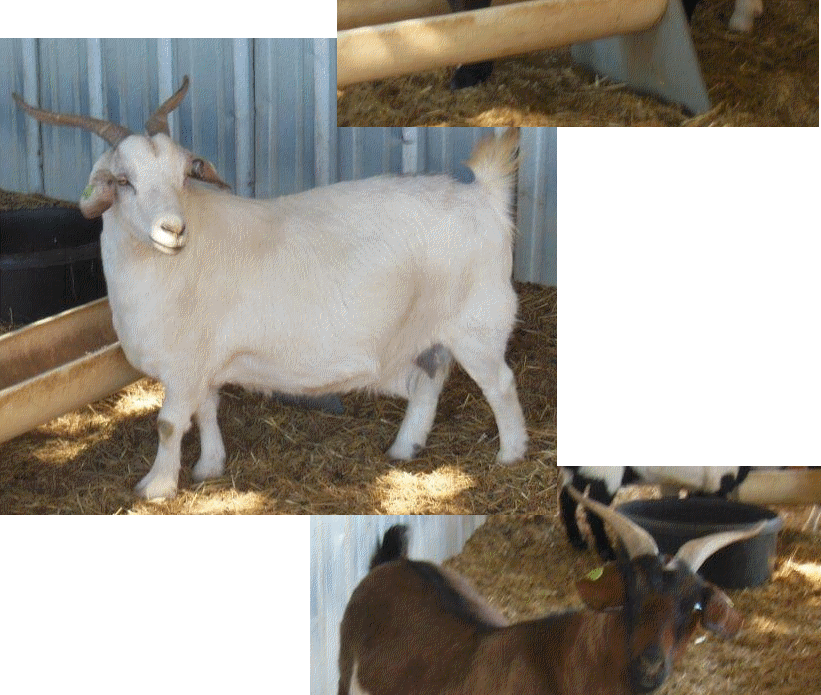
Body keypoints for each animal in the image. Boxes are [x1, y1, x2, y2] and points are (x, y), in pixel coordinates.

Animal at [14, 79, 527, 500]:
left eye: (183, 176)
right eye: (122, 181)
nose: (173, 230)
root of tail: (484, 196)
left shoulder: (185, 362)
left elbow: (169, 424)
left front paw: (155, 486)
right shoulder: (205, 360)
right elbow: (207, 410)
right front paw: (209, 467)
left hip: (479, 323)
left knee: (500, 383)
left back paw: (512, 453)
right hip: (429, 332)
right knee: (429, 380)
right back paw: (405, 447)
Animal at [559, 467, 751, 560]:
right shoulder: (718, 480)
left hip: (580, 474)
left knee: (567, 499)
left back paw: (577, 540)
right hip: (606, 473)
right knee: (594, 511)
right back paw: (606, 552)